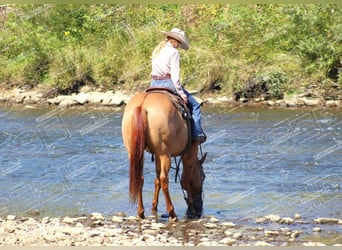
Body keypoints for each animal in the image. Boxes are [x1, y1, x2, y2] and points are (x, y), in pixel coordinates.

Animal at [121, 90, 207, 221]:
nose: (200, 206)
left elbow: (156, 180)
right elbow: (185, 179)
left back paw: (141, 212)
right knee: (164, 179)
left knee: (140, 178)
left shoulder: (157, 155)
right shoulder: (188, 155)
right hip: (165, 154)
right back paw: (172, 213)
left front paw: (154, 206)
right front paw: (191, 206)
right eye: (203, 176)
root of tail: (142, 105)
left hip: (134, 152)